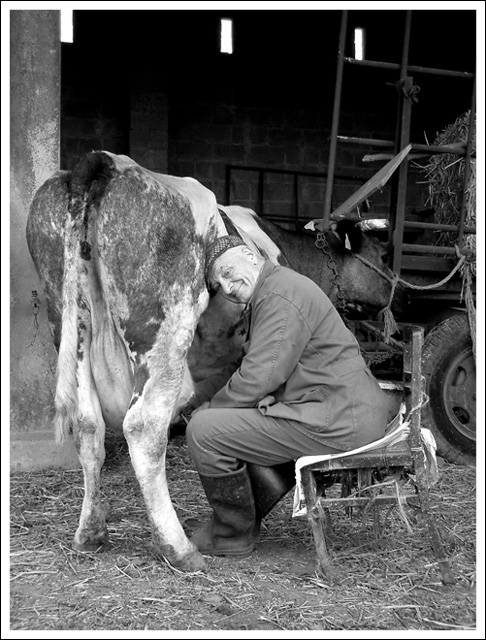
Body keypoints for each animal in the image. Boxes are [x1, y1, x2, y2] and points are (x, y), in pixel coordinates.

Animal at [28, 152, 404, 572]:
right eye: (382, 255)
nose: (398, 287)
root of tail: (107, 162)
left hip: (67, 322)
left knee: (87, 425)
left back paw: (90, 534)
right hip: (166, 329)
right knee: (144, 427)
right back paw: (178, 548)